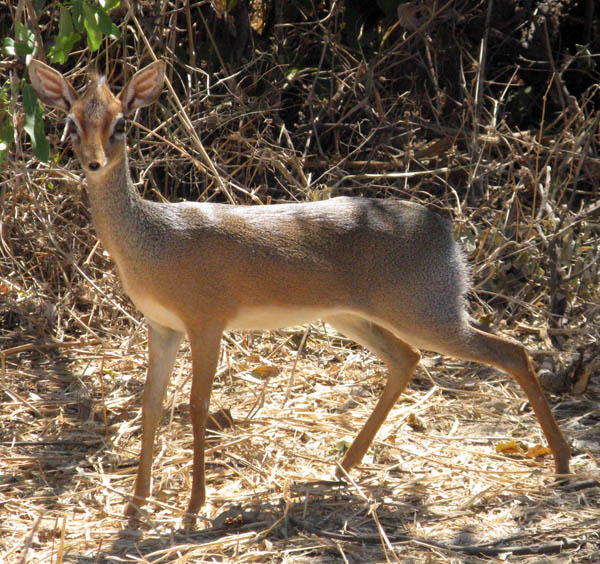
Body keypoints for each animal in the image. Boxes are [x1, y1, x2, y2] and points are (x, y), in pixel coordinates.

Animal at [29, 59, 572, 524]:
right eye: (71, 123)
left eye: (122, 122)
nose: (94, 163)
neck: (152, 238)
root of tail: (444, 229)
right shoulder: (162, 327)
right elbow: (151, 404)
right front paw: (136, 504)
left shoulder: (206, 325)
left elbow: (197, 406)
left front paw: (193, 506)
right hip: (352, 318)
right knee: (409, 359)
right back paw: (343, 467)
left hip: (429, 316)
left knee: (513, 351)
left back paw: (563, 465)